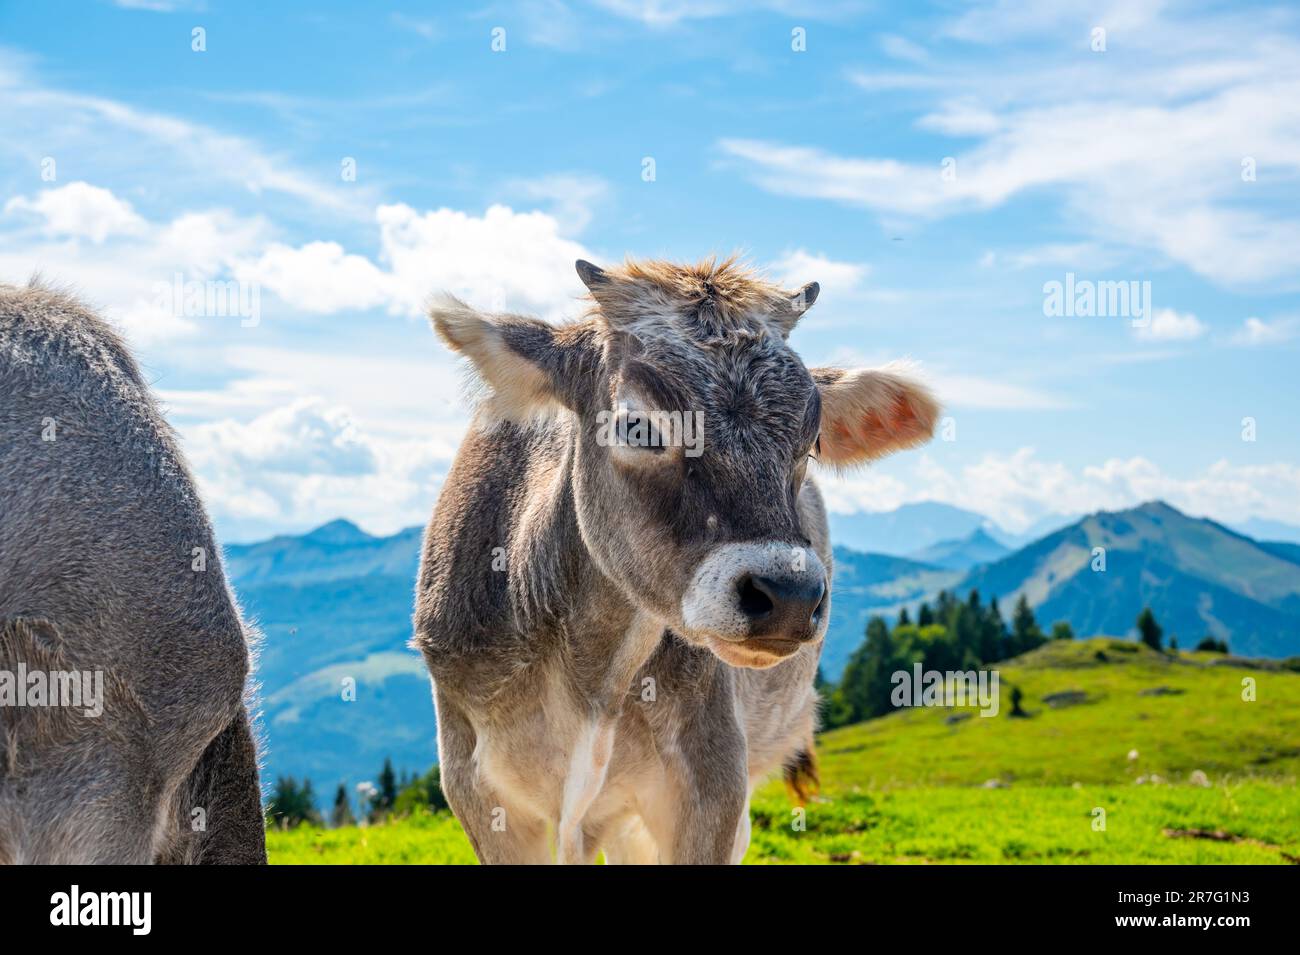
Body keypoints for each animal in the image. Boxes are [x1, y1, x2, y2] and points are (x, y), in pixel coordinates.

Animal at [415, 257, 939, 864]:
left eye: (811, 442)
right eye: (636, 425)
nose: (789, 596)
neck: (589, 679)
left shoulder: (712, 776)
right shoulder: (476, 785)